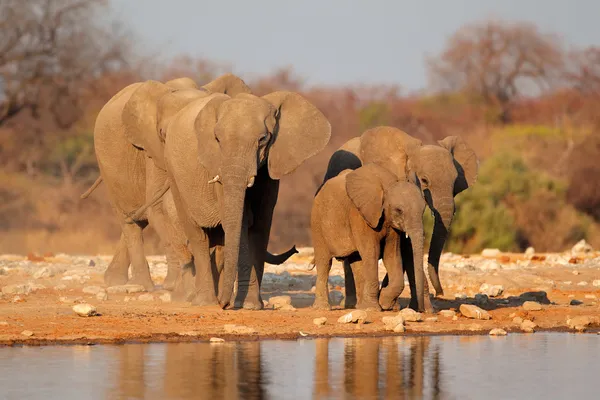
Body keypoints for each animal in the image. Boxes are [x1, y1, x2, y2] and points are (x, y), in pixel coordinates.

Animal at [86, 73, 258, 290]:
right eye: (163, 134)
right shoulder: (153, 149)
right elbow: (161, 207)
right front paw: (175, 285)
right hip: (106, 164)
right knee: (129, 220)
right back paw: (139, 285)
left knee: (135, 219)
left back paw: (116, 280)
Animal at [163, 90, 332, 310]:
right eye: (217, 139)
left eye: (263, 139)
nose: (224, 305)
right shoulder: (218, 165)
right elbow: (241, 223)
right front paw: (245, 304)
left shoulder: (270, 168)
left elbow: (260, 225)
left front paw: (252, 305)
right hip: (173, 174)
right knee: (197, 235)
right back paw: (205, 302)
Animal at [312, 164, 424, 310]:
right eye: (399, 210)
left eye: (423, 210)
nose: (421, 310)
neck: (387, 185)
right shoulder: (360, 215)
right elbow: (372, 252)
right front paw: (374, 307)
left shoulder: (390, 224)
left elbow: (391, 255)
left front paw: (385, 303)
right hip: (317, 224)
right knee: (324, 263)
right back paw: (322, 308)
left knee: (357, 263)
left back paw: (360, 307)